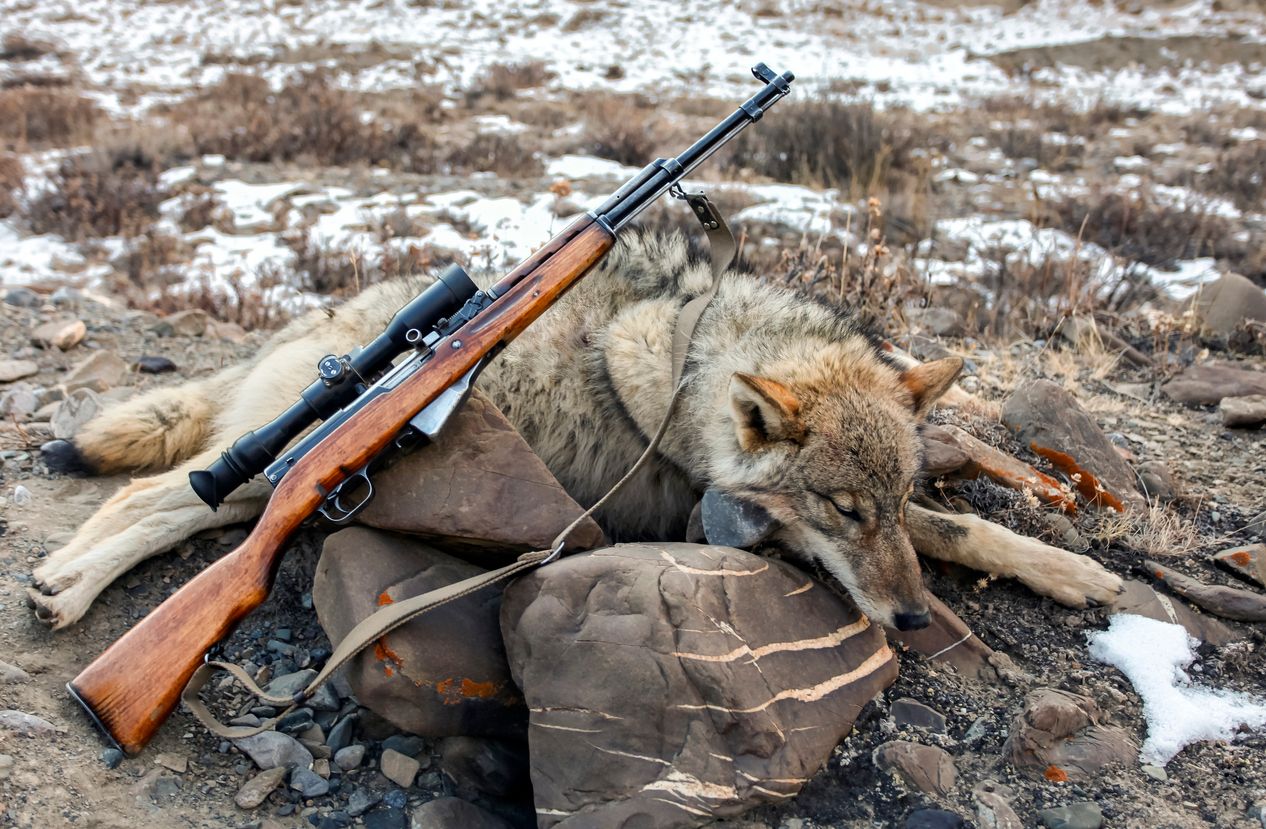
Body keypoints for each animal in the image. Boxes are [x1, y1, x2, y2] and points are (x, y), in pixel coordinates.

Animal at [31, 229, 1122, 631]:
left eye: (885, 505)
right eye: (843, 511)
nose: (911, 622)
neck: (695, 352)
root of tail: (327, 326)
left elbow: (958, 522)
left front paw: (1070, 564)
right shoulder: (712, 516)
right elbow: (958, 530)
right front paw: (1075, 570)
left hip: (297, 489)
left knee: (169, 504)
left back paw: (58, 579)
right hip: (277, 475)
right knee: (159, 494)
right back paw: (66, 588)